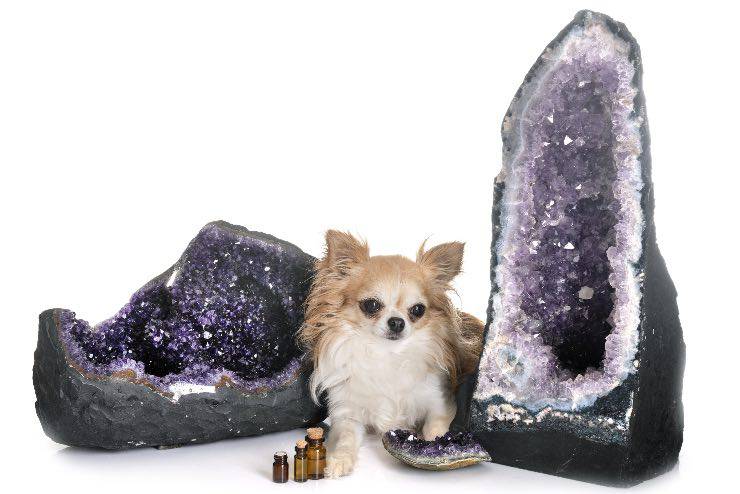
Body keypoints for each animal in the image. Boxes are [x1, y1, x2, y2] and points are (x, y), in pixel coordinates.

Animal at [298, 230, 484, 478]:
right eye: (371, 305)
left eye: (418, 310)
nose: (397, 321)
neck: (387, 354)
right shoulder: (347, 413)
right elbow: (346, 438)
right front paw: (339, 460)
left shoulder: (441, 404)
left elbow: (435, 429)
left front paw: (437, 448)